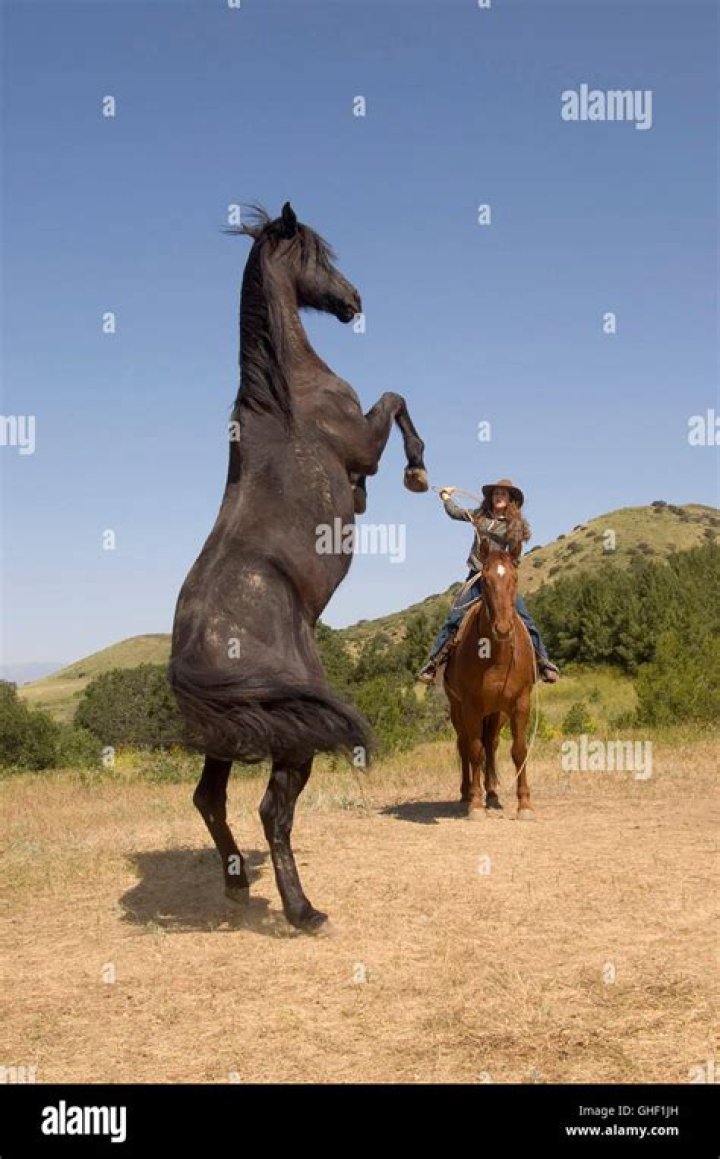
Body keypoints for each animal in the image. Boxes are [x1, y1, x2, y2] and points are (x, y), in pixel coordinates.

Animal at [169, 202, 428, 933]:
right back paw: (303, 909)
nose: (353, 300)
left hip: (239, 728)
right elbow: (396, 399)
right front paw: (418, 470)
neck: (288, 394)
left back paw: (236, 882)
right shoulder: (363, 438)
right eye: (318, 258)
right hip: (295, 732)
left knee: (209, 799)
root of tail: (190, 651)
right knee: (271, 812)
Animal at [443, 538, 536, 819]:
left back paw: (492, 794)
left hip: (496, 713)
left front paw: (524, 804)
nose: (503, 628)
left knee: (491, 745)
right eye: (484, 580)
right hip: (457, 710)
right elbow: (474, 751)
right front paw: (475, 804)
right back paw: (466, 794)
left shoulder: (520, 703)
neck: (496, 657)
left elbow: (519, 750)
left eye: (515, 578)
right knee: (465, 745)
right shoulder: (471, 706)